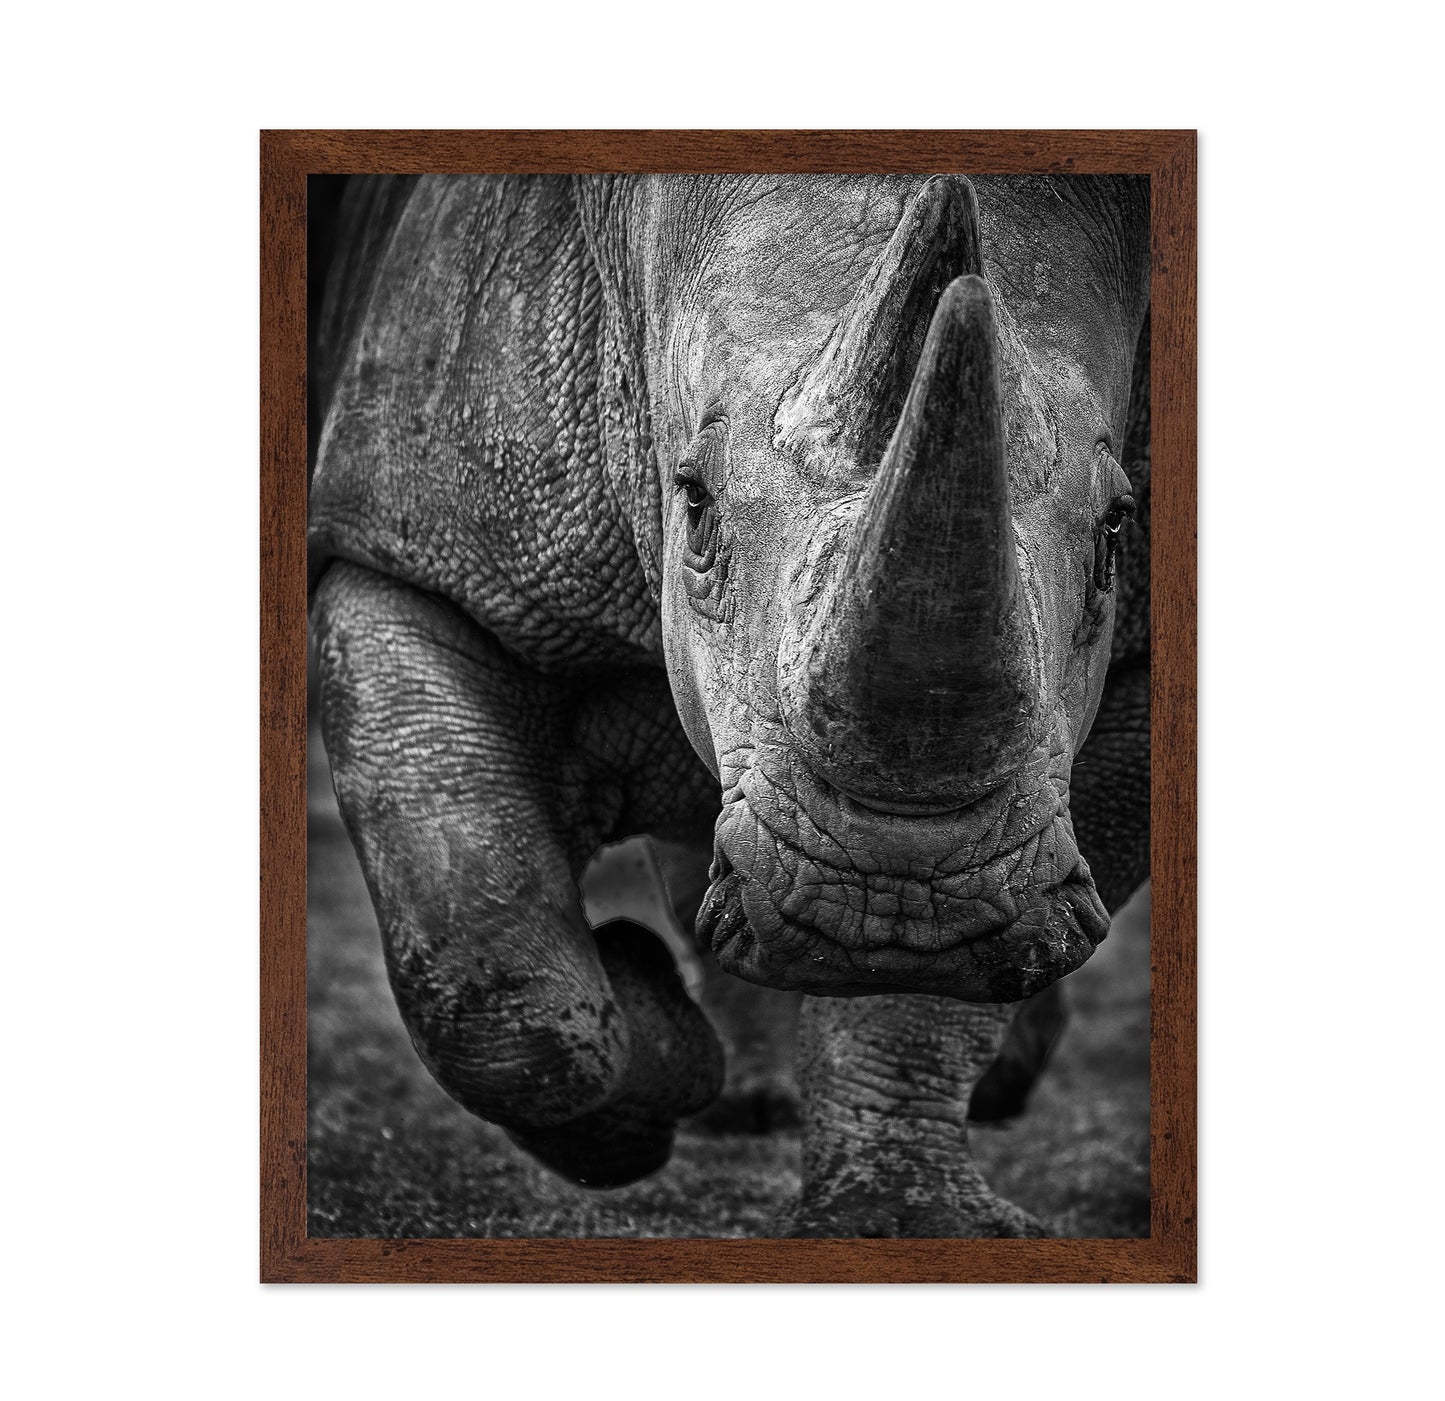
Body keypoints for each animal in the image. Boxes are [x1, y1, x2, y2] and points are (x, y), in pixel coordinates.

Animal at [309, 172, 1151, 1237]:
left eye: (1117, 531)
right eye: (695, 504)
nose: (892, 898)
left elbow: (924, 999)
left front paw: (900, 1222)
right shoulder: (408, 548)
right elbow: (491, 970)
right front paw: (652, 1042)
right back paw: (730, 1091)